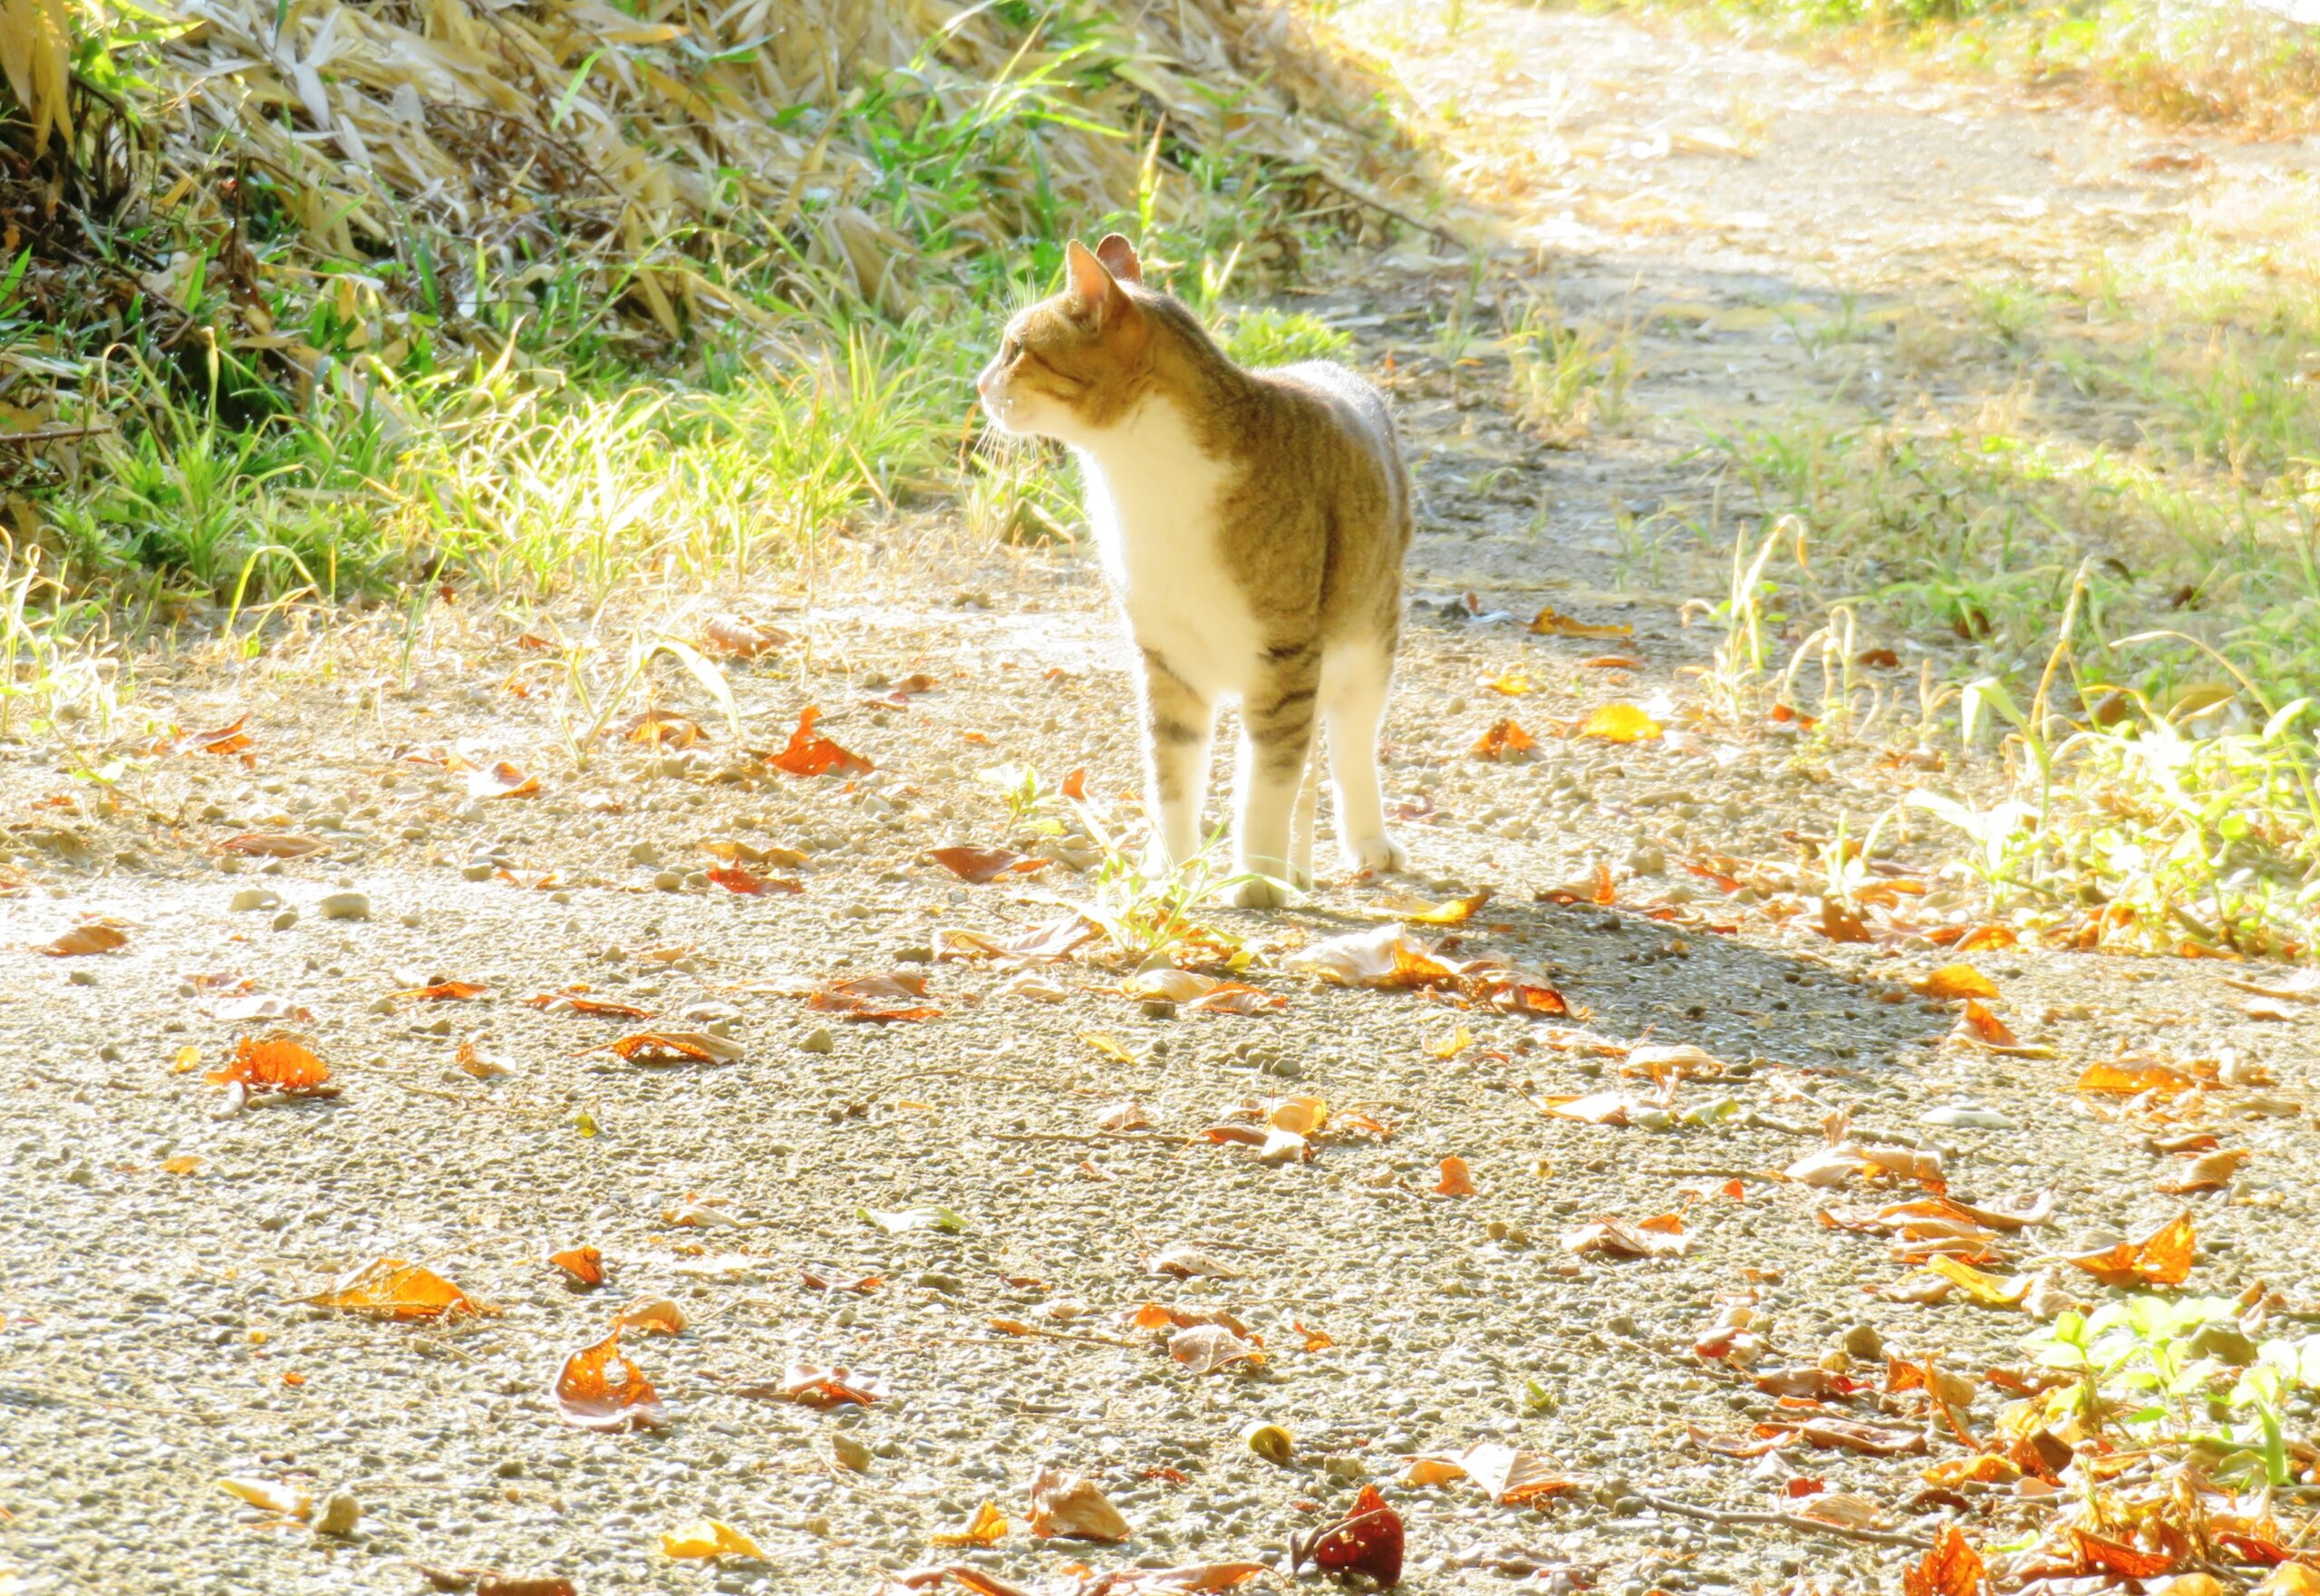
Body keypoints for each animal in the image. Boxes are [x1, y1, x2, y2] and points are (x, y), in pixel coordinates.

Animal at [979, 237, 1410, 909]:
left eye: (1016, 348)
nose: (978, 384)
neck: (1139, 478)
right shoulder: (1166, 656)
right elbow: (1172, 776)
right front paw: (1170, 872)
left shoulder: (1284, 657)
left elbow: (1267, 783)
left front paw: (1255, 880)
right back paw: (1296, 866)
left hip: (1367, 638)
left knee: (1347, 745)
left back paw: (1359, 842)